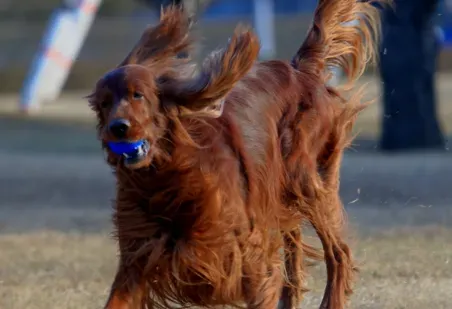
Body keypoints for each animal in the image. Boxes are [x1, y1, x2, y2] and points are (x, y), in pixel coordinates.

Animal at [88, 1, 384, 306]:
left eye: (138, 95)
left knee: (338, 253)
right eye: (103, 103)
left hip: (305, 181)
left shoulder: (248, 257)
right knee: (295, 249)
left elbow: (266, 279)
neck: (168, 179)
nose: (118, 128)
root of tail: (301, 71)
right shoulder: (138, 257)